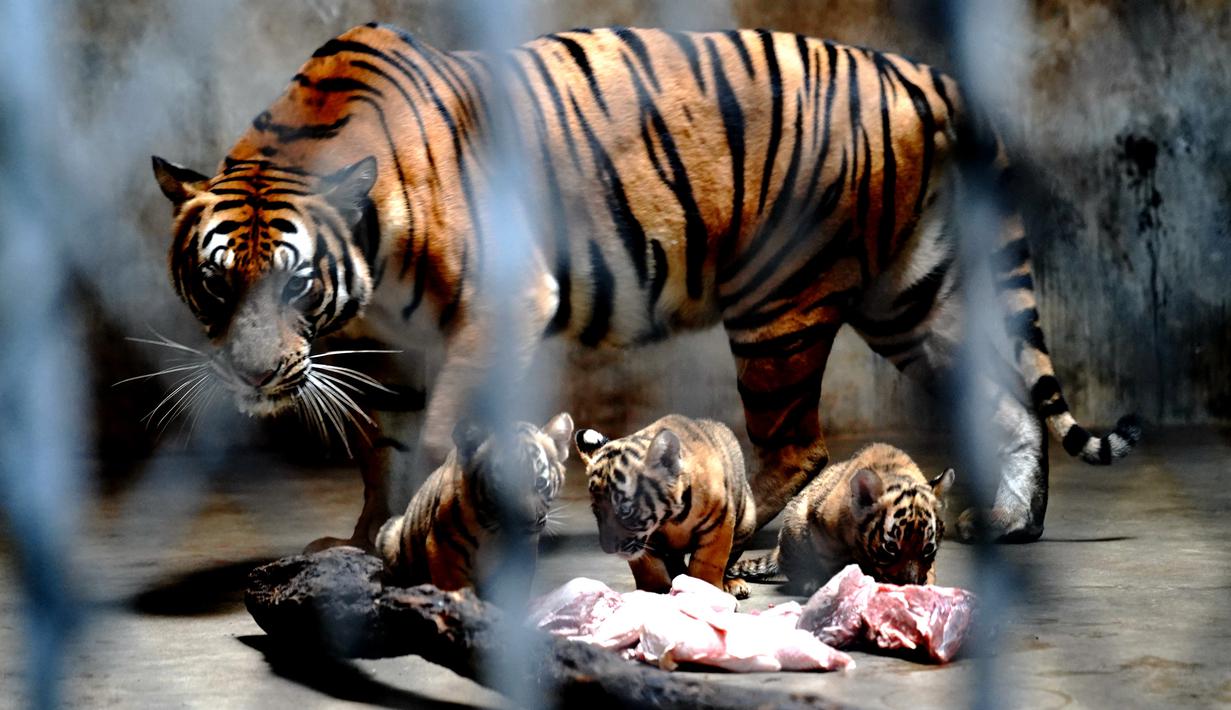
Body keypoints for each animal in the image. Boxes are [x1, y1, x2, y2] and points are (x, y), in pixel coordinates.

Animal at [151, 23, 1132, 548]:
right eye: (216, 288)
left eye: (295, 287)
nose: (256, 376)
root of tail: (914, 70)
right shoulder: (388, 347)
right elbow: (379, 453)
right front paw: (363, 546)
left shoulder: (500, 305)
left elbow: (434, 436)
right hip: (913, 294)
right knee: (1010, 401)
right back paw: (1006, 522)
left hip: (781, 302)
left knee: (795, 445)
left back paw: (757, 541)